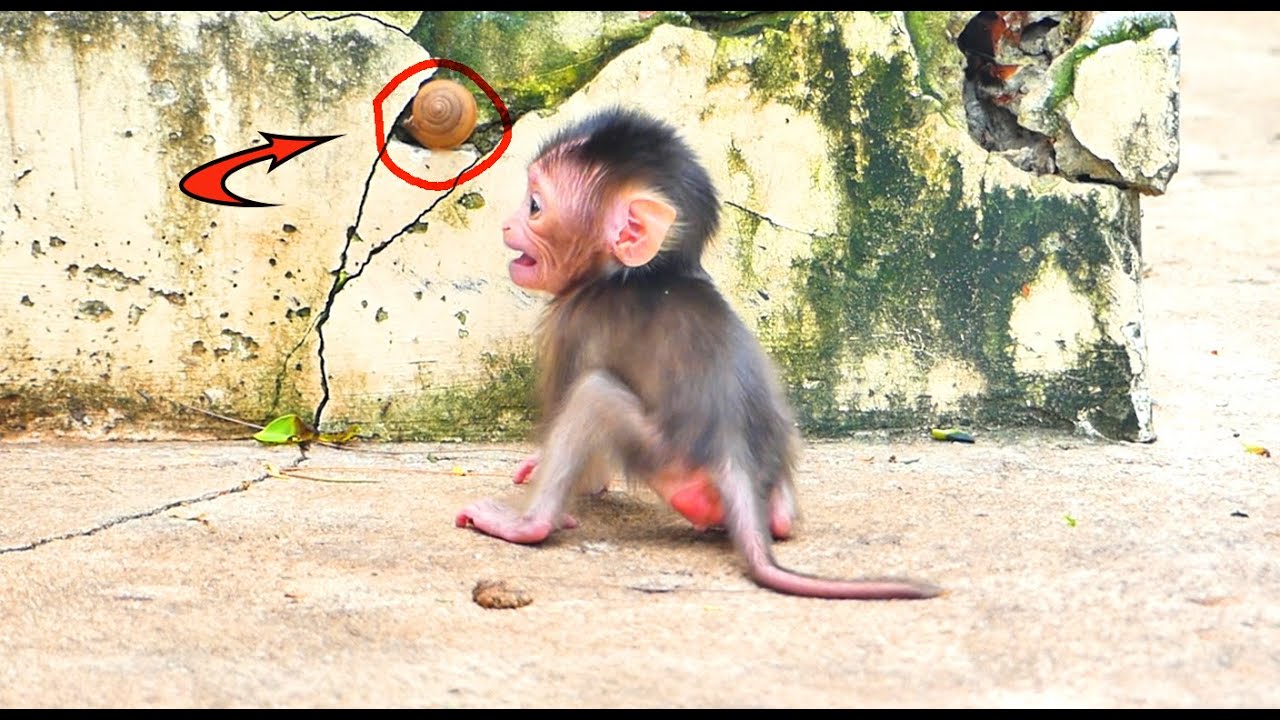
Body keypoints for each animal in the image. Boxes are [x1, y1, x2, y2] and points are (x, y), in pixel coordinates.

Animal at [456, 107, 940, 600]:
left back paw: (525, 524)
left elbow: (588, 460)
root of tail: (735, 458)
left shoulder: (570, 322)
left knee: (594, 395)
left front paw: (550, 474)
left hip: (665, 458)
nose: (507, 224)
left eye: (535, 206)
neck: (637, 272)